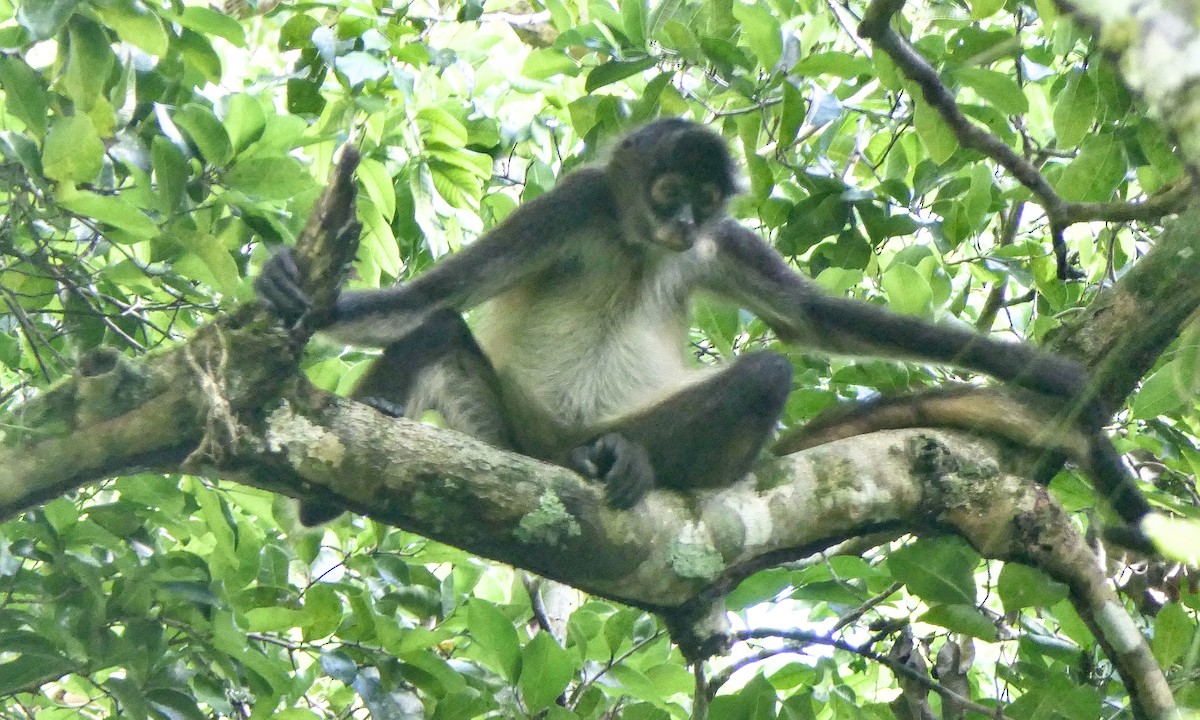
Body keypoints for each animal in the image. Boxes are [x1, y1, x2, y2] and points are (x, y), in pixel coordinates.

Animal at [255, 118, 1154, 543]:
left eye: (704, 199)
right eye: (668, 189)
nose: (686, 221)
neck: (637, 244)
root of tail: (553, 455)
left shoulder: (723, 245)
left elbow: (814, 323)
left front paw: (1040, 369)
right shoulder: (575, 204)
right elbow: (436, 294)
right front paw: (294, 289)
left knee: (763, 377)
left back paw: (630, 461)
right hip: (505, 436)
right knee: (440, 329)